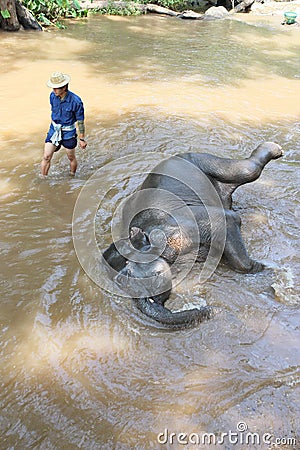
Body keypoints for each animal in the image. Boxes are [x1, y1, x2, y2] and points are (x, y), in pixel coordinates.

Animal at [102, 142, 284, 328]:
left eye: (127, 273)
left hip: (202, 160)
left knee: (247, 170)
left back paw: (275, 148)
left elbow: (228, 221)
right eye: (119, 282)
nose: (212, 309)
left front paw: (266, 268)